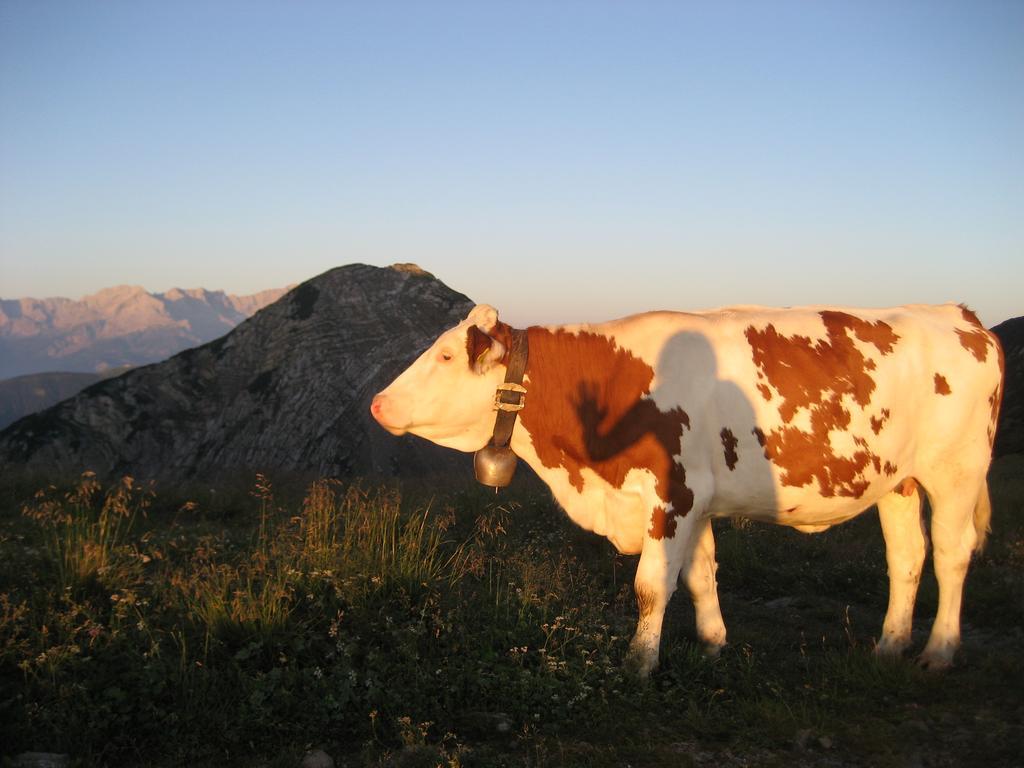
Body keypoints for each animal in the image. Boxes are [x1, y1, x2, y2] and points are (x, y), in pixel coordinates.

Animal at [368, 303, 999, 675]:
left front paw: (638, 663)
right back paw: (889, 646)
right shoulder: (695, 503)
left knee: (951, 553)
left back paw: (939, 652)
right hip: (899, 480)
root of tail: (957, 313)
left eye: (444, 354)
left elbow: (652, 586)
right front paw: (714, 643)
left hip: (957, 470)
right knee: (907, 556)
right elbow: (701, 576)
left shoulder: (674, 494)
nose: (377, 403)